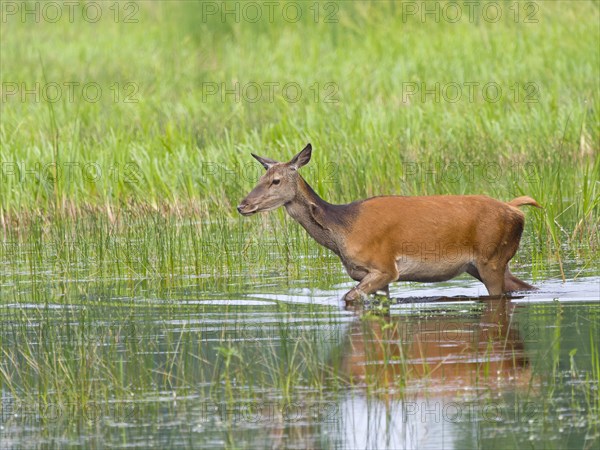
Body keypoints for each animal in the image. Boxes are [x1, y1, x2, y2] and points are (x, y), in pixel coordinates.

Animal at [237, 146, 540, 304]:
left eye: (275, 180)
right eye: (260, 178)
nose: (243, 205)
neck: (342, 230)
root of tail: (515, 209)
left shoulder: (384, 267)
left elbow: (348, 297)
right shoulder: (371, 275)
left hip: (492, 258)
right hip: (481, 264)